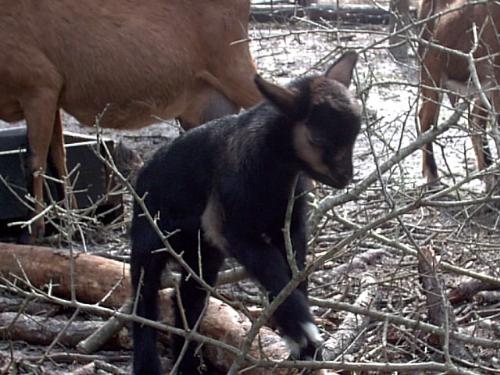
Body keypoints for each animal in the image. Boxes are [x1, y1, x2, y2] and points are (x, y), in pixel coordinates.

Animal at [0, 0, 264, 241]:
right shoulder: (54, 97)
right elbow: (59, 157)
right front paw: (71, 225)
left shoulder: (40, 87)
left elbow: (35, 161)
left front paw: (33, 232)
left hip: (233, 68)